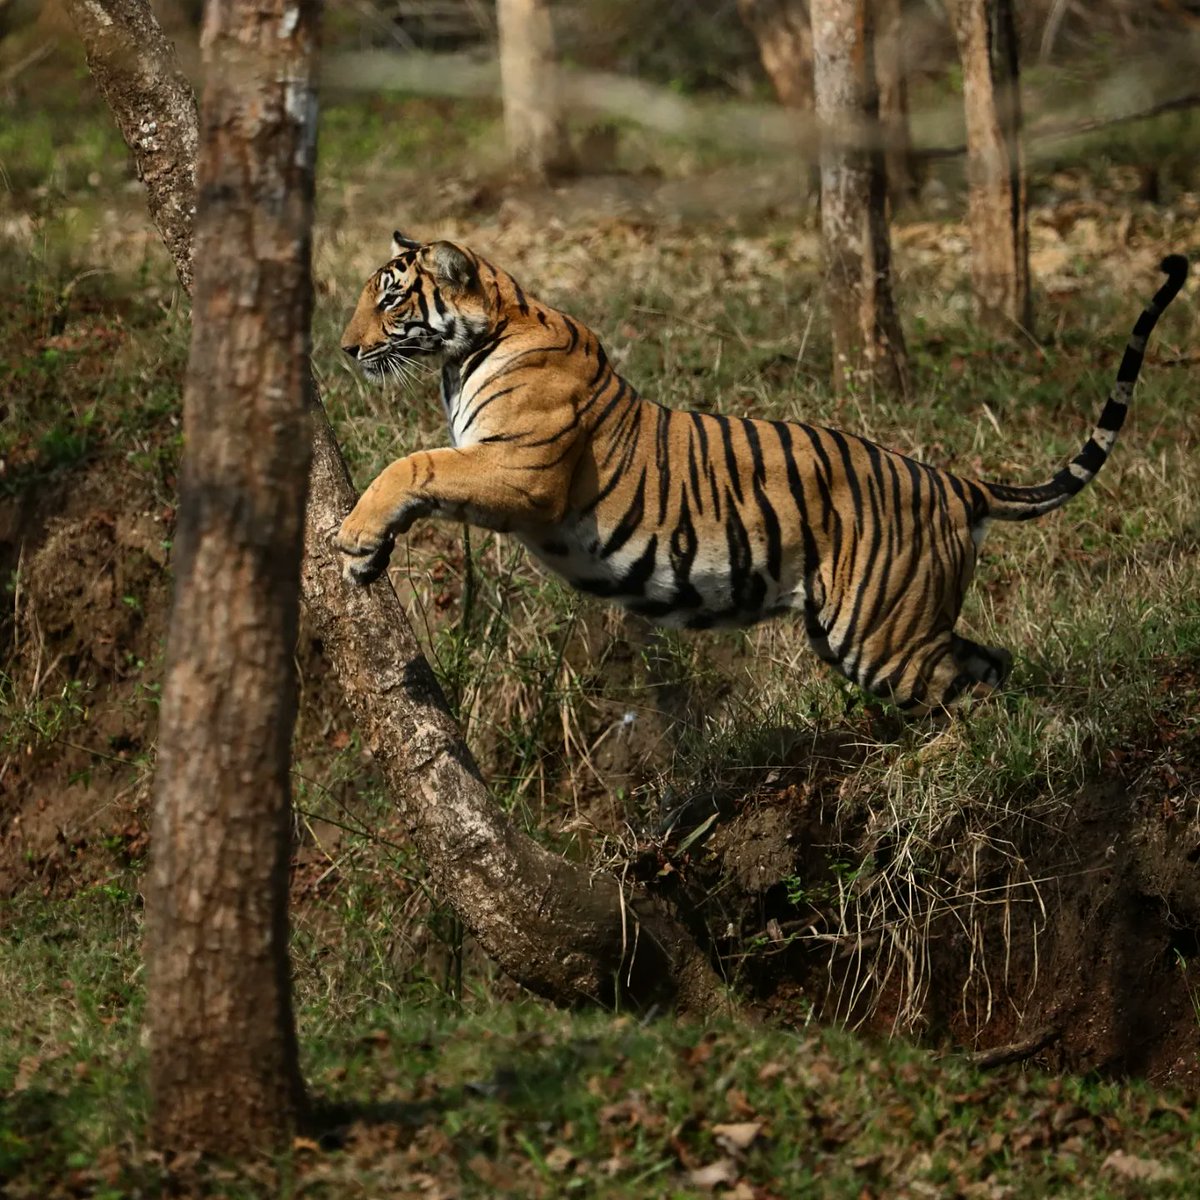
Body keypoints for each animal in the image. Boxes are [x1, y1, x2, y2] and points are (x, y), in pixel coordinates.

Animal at [334, 233, 1187, 713]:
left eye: (392, 300)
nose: (343, 349)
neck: (474, 345)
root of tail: (954, 482)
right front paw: (370, 552)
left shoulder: (522, 472)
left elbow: (414, 462)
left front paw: (354, 540)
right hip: (892, 620)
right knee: (990, 666)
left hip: (878, 633)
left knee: (965, 696)